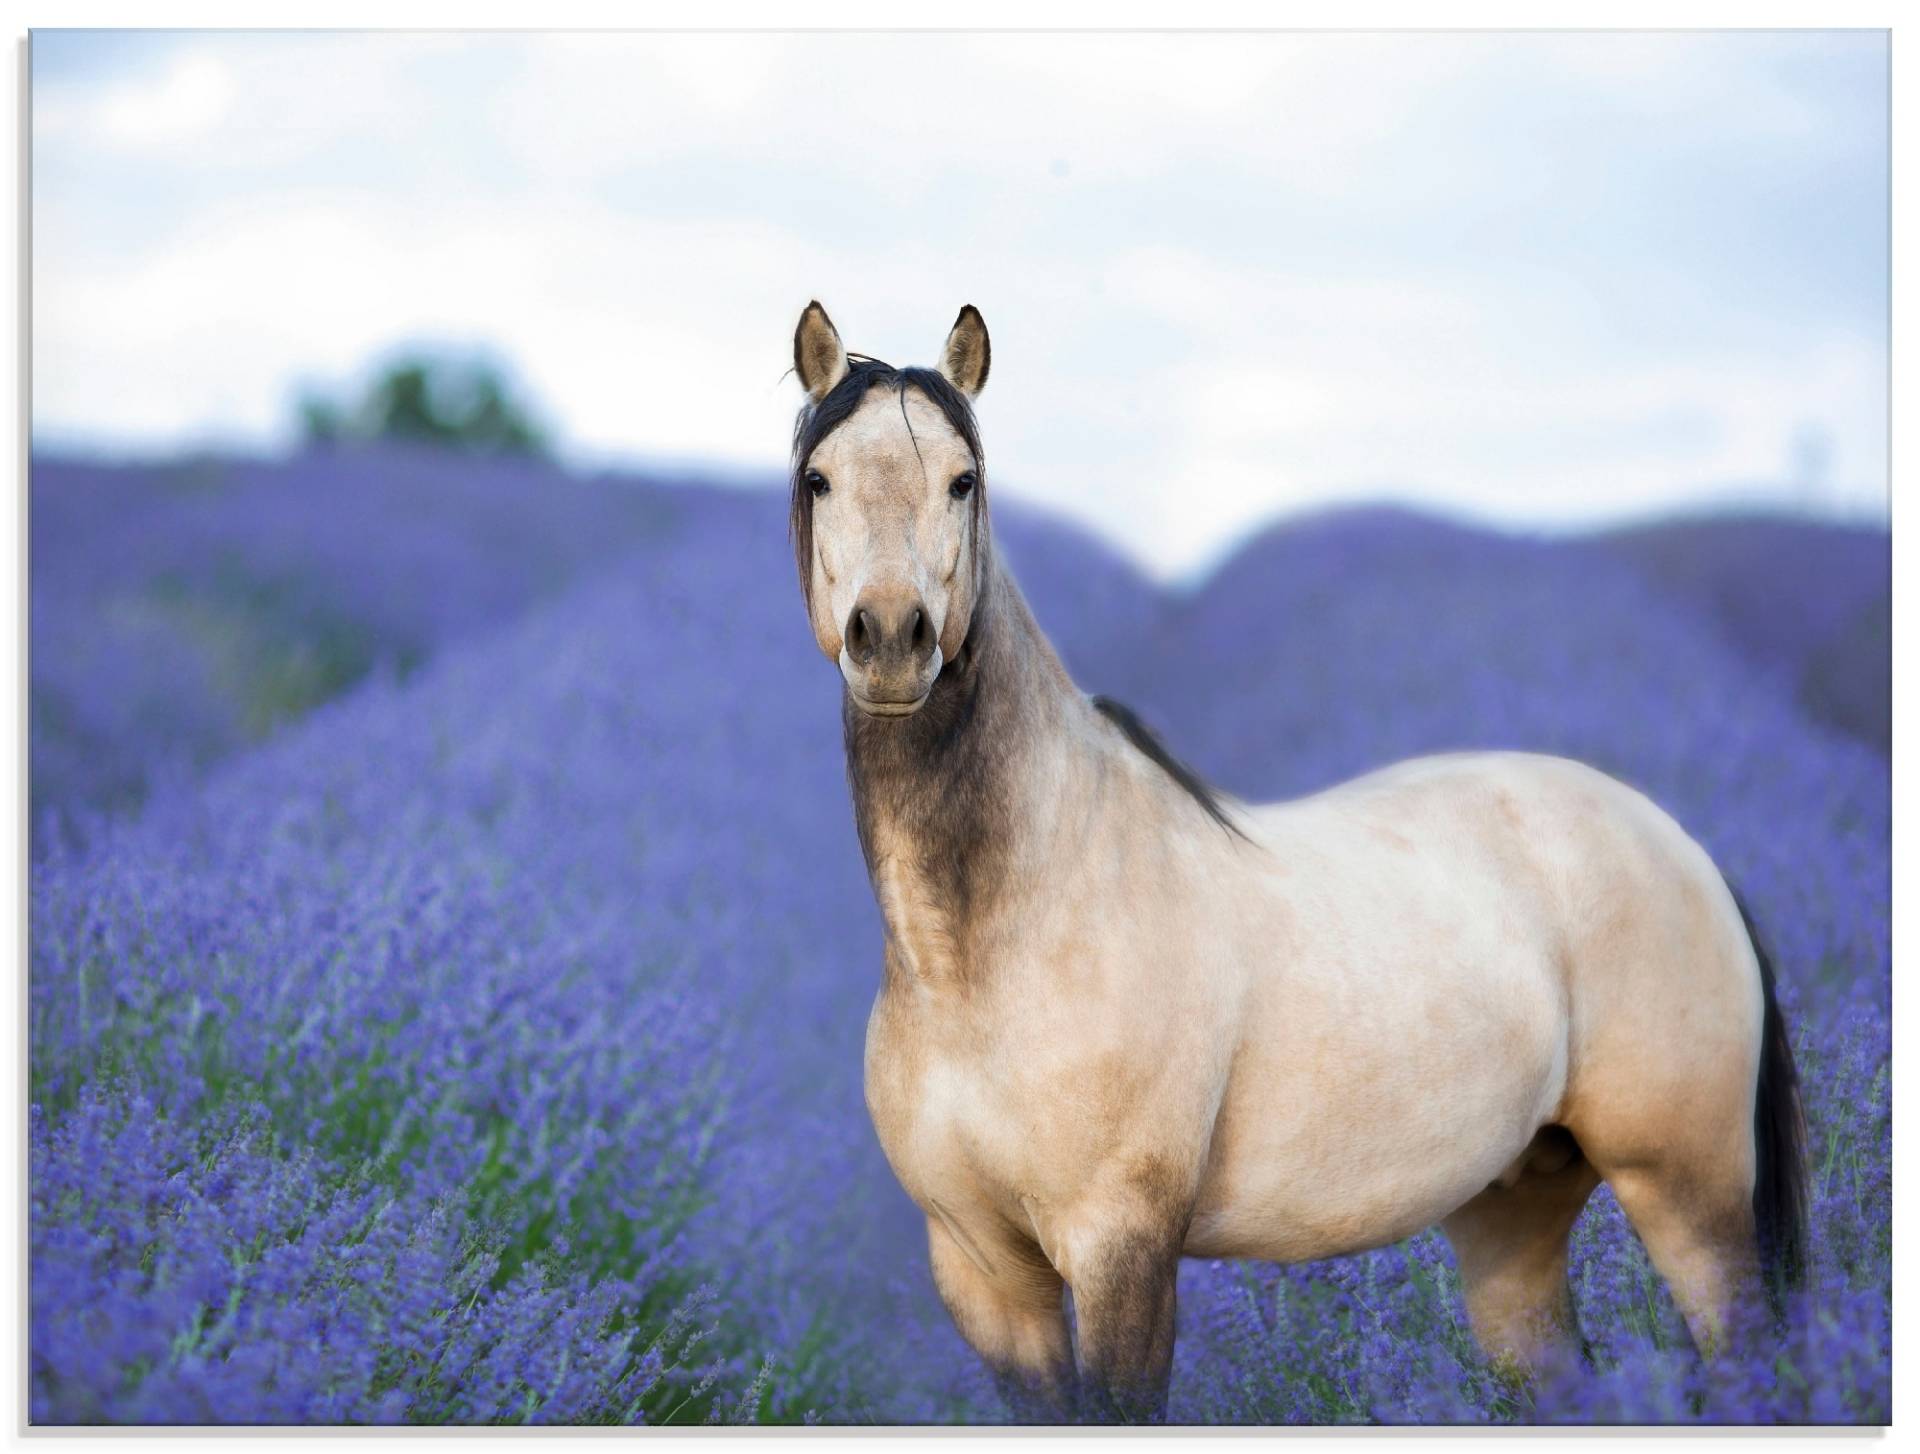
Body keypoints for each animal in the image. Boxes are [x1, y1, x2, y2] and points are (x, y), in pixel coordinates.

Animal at [779, 297, 1797, 1421]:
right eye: (819, 478)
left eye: (965, 478)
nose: (890, 640)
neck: (989, 949)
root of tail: (1683, 848)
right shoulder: (985, 1274)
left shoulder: (1122, 1249)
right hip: (1514, 1214)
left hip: (1690, 1197)